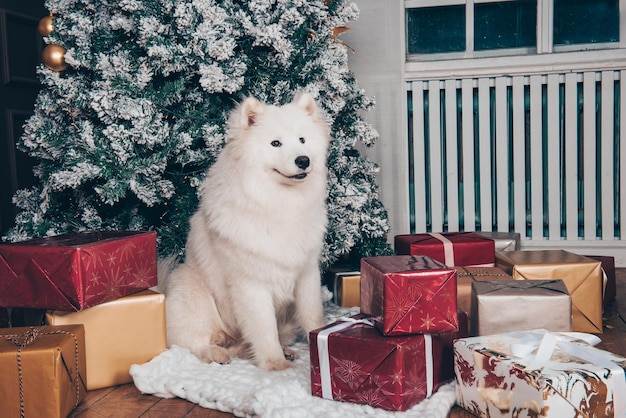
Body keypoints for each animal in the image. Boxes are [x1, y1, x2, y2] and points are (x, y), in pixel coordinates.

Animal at [162, 93, 332, 370]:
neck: (280, 203)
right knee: (190, 341)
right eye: (275, 143)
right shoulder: (251, 283)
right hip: (189, 286)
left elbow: (313, 316)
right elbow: (263, 328)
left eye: (302, 140)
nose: (303, 160)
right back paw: (216, 352)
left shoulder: (307, 274)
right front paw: (275, 364)